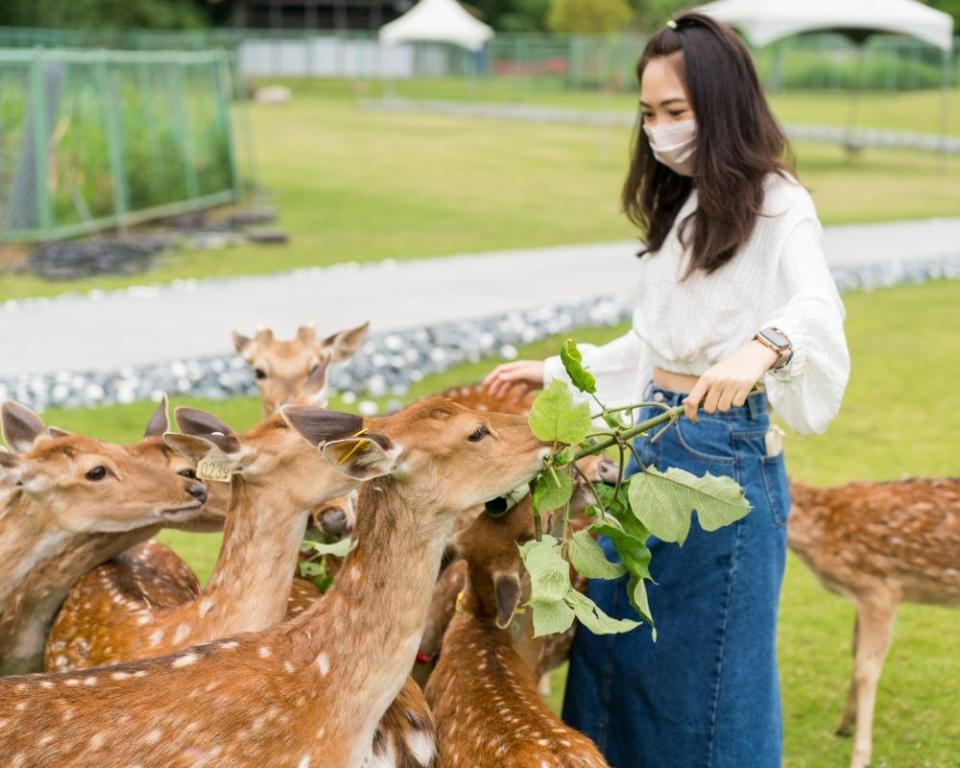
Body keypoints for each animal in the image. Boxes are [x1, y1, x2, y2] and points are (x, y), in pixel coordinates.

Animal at [788, 480, 960, 768]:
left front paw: (859, 756)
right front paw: (843, 726)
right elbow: (855, 652)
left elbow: (866, 671)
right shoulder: (862, 597)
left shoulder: (878, 589)